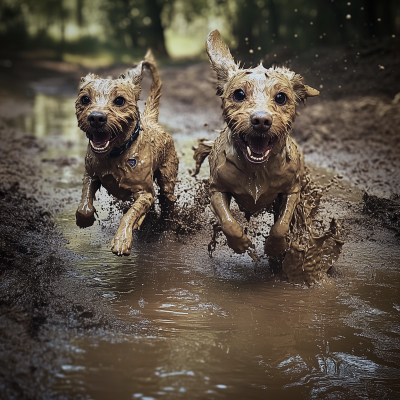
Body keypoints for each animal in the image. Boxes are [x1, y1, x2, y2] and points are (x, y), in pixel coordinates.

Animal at [75, 50, 178, 256]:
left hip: (167, 178)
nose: (96, 117)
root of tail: (151, 119)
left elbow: (131, 213)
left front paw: (122, 239)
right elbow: (85, 202)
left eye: (119, 100)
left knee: (167, 200)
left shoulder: (145, 193)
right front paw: (83, 218)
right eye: (85, 99)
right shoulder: (90, 174)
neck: (114, 155)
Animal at [193, 30, 318, 256]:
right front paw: (240, 243)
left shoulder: (292, 190)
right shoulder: (217, 189)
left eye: (281, 97)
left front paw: (275, 247)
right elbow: (228, 222)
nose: (261, 120)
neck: (257, 171)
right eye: (239, 94)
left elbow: (281, 226)